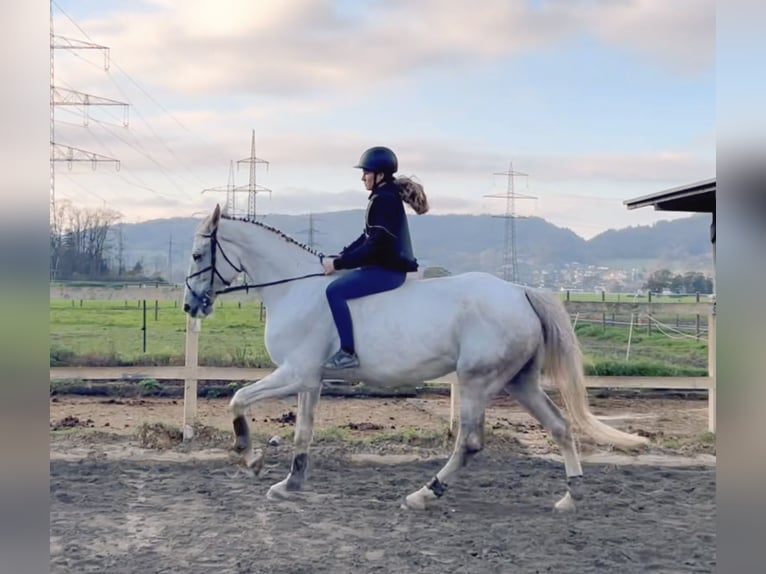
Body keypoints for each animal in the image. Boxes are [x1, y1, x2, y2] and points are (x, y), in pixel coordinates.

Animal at [184, 206, 648, 512]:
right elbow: (303, 432)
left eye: (196, 255)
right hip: (521, 382)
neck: (295, 287)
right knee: (560, 426)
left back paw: (424, 494)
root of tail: (521, 291)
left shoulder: (294, 373)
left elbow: (238, 399)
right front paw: (290, 483)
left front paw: (251, 457)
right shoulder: (309, 380)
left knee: (471, 443)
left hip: (477, 381)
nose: (192, 305)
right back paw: (571, 496)